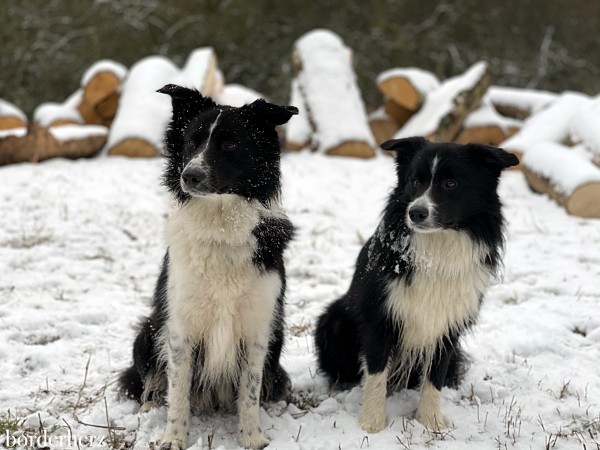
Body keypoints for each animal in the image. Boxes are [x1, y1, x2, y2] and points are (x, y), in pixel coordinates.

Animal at [120, 84, 298, 450]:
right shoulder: (180, 326)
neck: (220, 226)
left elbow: (250, 391)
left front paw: (252, 437)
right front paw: (173, 437)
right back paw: (148, 404)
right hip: (147, 330)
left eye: (230, 144)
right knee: (148, 380)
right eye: (192, 141)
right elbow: (178, 391)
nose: (190, 176)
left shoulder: (258, 326)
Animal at [316, 137, 516, 432]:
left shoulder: (447, 324)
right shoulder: (380, 315)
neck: (436, 249)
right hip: (333, 321)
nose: (416, 212)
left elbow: (434, 376)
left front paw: (430, 421)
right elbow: (376, 371)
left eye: (451, 183)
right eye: (415, 181)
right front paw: (372, 423)